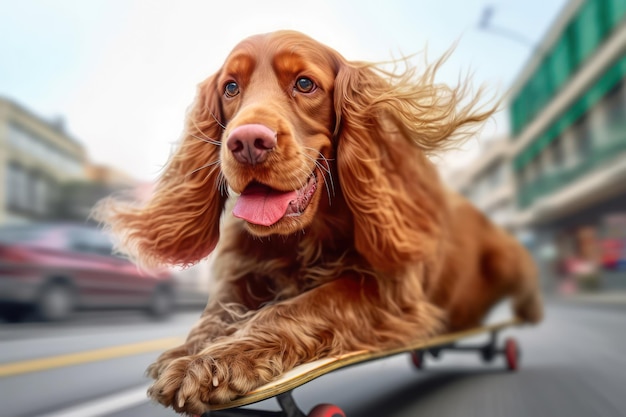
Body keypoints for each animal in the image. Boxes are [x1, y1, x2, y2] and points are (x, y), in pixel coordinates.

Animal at [94, 30, 540, 414]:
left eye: (305, 83)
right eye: (231, 88)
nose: (247, 142)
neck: (300, 236)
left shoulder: (390, 294)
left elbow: (300, 307)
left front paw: (215, 363)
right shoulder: (240, 277)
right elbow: (215, 315)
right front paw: (187, 352)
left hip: (507, 260)